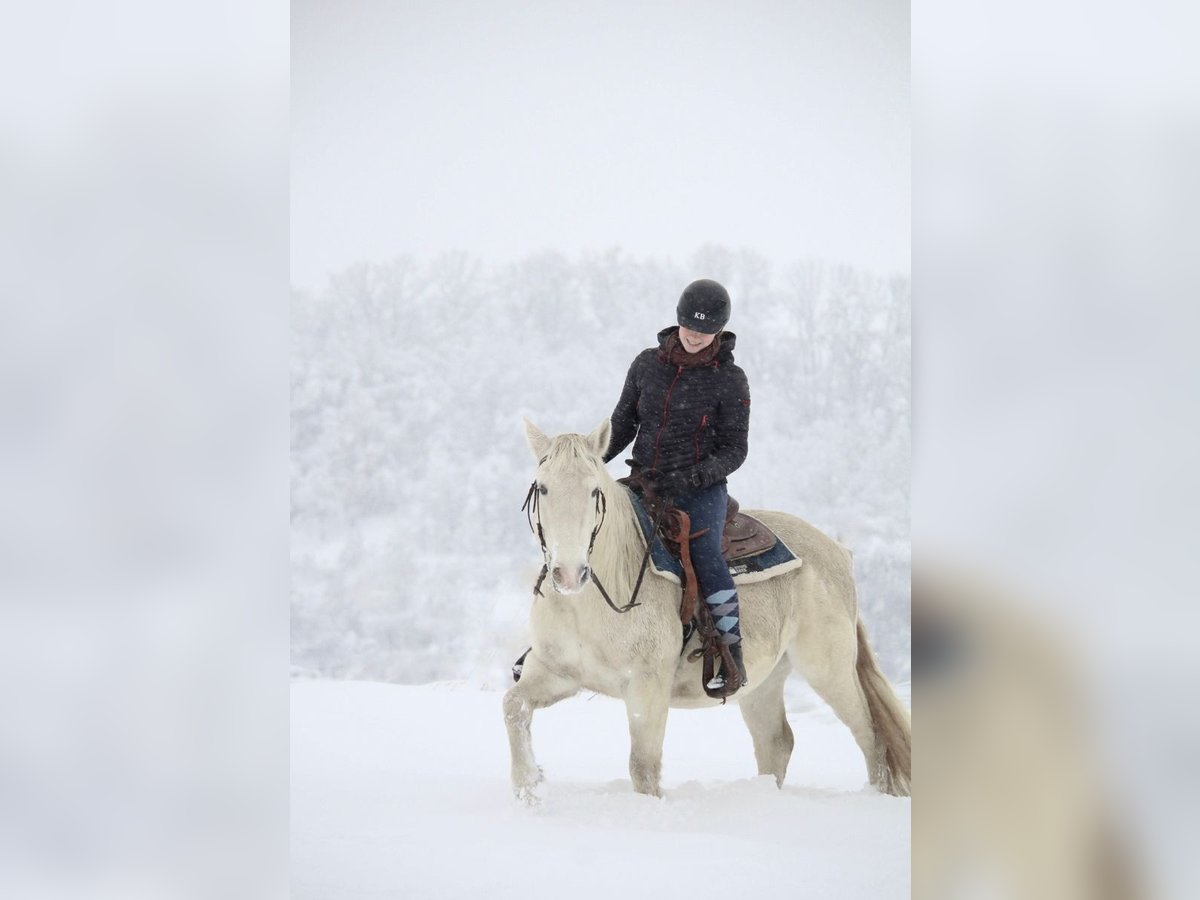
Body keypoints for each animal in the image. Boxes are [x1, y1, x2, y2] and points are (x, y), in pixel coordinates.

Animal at [504, 420, 907, 806]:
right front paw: (530, 789)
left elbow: (643, 767)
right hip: (764, 682)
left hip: (828, 669)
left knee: (870, 734)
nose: (570, 573)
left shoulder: (647, 686)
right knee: (776, 742)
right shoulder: (557, 672)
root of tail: (838, 550)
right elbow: (513, 706)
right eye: (542, 488)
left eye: (593, 491)